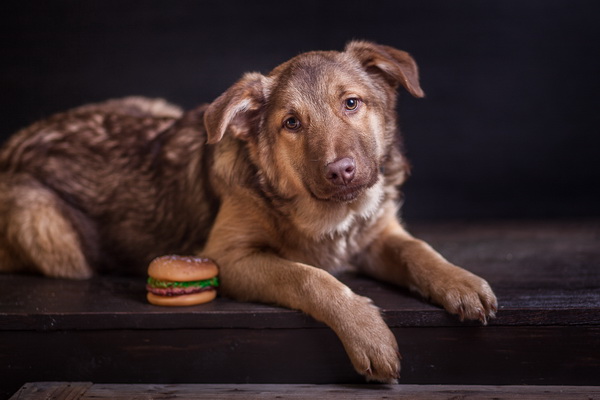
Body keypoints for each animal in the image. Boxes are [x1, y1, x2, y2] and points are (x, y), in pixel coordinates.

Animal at [0, 41, 497, 383]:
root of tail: (13, 144)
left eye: (351, 103)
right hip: (43, 224)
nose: (341, 172)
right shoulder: (230, 259)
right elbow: (311, 277)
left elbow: (419, 251)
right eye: (291, 123)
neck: (325, 213)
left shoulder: (378, 235)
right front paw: (366, 332)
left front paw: (459, 282)